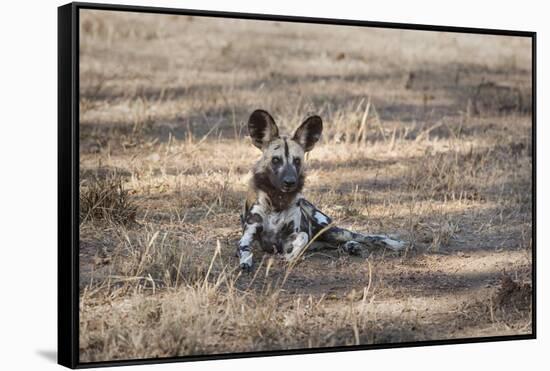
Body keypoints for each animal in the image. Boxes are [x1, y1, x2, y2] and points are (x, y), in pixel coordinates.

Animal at [239, 110, 408, 270]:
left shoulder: (291, 237)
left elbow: (302, 237)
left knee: (365, 236)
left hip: (332, 231)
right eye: (275, 160)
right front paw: (245, 262)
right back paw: (352, 247)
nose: (290, 182)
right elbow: (245, 249)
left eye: (297, 161)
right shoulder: (249, 235)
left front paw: (290, 256)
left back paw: (392, 244)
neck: (278, 201)